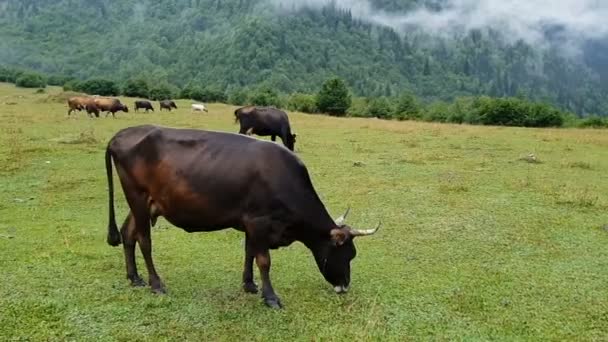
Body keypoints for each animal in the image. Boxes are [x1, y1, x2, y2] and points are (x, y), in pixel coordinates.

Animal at [105, 124, 380, 308]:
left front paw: (249, 285)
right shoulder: (259, 222)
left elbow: (249, 252)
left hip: (144, 203)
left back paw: (134, 278)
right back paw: (156, 283)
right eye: (346, 254)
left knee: (128, 234)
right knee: (144, 240)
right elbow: (264, 260)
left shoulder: (250, 222)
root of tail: (121, 134)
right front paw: (270, 297)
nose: (344, 286)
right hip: (138, 197)